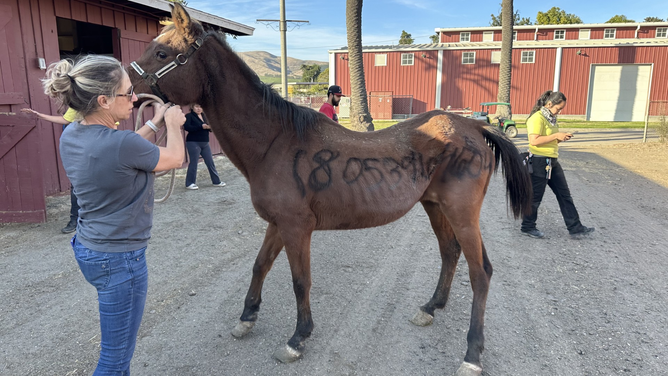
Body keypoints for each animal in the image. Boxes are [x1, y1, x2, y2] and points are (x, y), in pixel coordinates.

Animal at [130, 4, 532, 374]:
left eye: (163, 54)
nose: (130, 91)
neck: (275, 141)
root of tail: (475, 127)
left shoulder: (296, 228)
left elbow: (299, 281)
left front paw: (297, 338)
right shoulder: (277, 224)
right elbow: (260, 266)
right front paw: (247, 318)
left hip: (462, 213)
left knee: (480, 273)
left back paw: (472, 355)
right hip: (434, 206)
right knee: (450, 253)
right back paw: (430, 308)